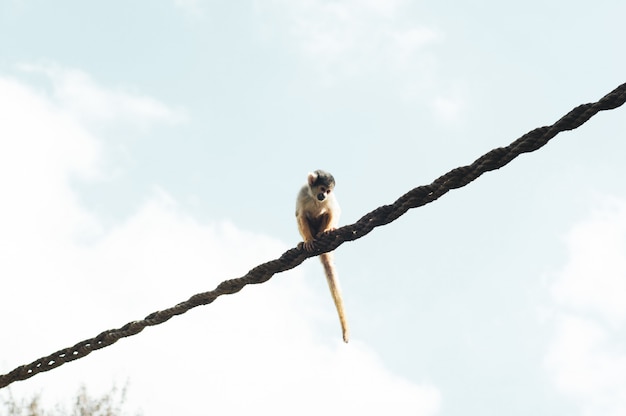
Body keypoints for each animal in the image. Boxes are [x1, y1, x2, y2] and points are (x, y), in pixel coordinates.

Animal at [294, 170, 348, 344]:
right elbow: (300, 215)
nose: (323, 195)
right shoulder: (302, 193)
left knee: (327, 211)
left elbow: (335, 211)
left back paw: (322, 234)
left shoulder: (331, 199)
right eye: (322, 188)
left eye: (328, 191)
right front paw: (307, 241)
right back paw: (306, 241)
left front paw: (329, 230)